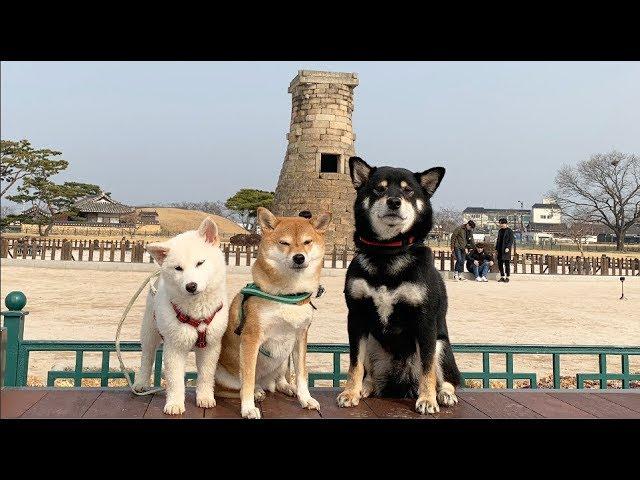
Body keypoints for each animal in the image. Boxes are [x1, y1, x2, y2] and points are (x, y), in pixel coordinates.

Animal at [132, 217, 228, 412]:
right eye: (178, 268)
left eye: (200, 263)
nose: (191, 286)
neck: (197, 314)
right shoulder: (174, 346)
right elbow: (175, 379)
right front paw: (175, 404)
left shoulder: (211, 345)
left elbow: (206, 375)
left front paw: (205, 398)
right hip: (150, 330)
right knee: (147, 357)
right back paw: (141, 383)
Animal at [218, 208, 332, 418]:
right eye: (284, 243)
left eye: (307, 242)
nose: (299, 257)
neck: (288, 295)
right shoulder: (251, 339)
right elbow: (247, 380)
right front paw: (248, 408)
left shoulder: (300, 337)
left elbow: (302, 375)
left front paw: (305, 398)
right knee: (236, 388)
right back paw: (257, 392)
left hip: (283, 359)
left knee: (278, 382)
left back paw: (287, 387)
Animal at [336, 157, 460, 412]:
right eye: (379, 189)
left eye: (408, 190)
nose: (394, 201)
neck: (387, 252)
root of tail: (401, 382)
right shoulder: (356, 317)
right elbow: (354, 364)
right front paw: (350, 392)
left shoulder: (425, 321)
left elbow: (427, 368)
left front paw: (427, 399)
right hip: (372, 343)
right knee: (371, 376)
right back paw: (365, 387)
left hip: (441, 345)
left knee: (447, 379)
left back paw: (443, 394)